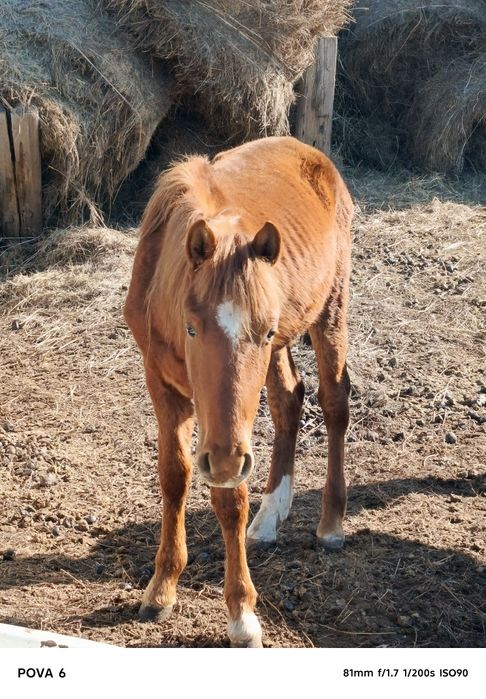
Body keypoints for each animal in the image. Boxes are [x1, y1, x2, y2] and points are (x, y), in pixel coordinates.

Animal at [124, 136, 353, 647]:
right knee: (289, 399)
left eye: (263, 332)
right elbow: (174, 476)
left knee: (334, 401)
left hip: (330, 308)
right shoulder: (163, 387)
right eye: (191, 328)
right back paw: (269, 518)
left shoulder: (230, 438)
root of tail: (310, 152)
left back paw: (330, 523)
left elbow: (229, 498)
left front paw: (242, 614)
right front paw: (162, 586)